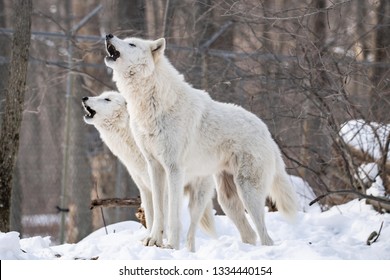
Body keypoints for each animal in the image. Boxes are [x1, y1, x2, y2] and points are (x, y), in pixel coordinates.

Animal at [82, 91, 216, 250]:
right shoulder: (145, 188)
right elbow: (152, 218)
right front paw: (150, 240)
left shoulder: (163, 188)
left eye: (107, 99)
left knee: (191, 230)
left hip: (197, 199)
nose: (84, 98)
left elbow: (163, 218)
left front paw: (161, 242)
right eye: (100, 95)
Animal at [103, 33, 298, 249]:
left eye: (131, 44)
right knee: (250, 234)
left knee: (265, 237)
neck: (152, 103)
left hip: (247, 193)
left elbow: (172, 214)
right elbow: (159, 211)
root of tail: (267, 133)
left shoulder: (174, 169)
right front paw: (153, 241)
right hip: (227, 200)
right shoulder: (154, 166)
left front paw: (171, 245)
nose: (109, 35)